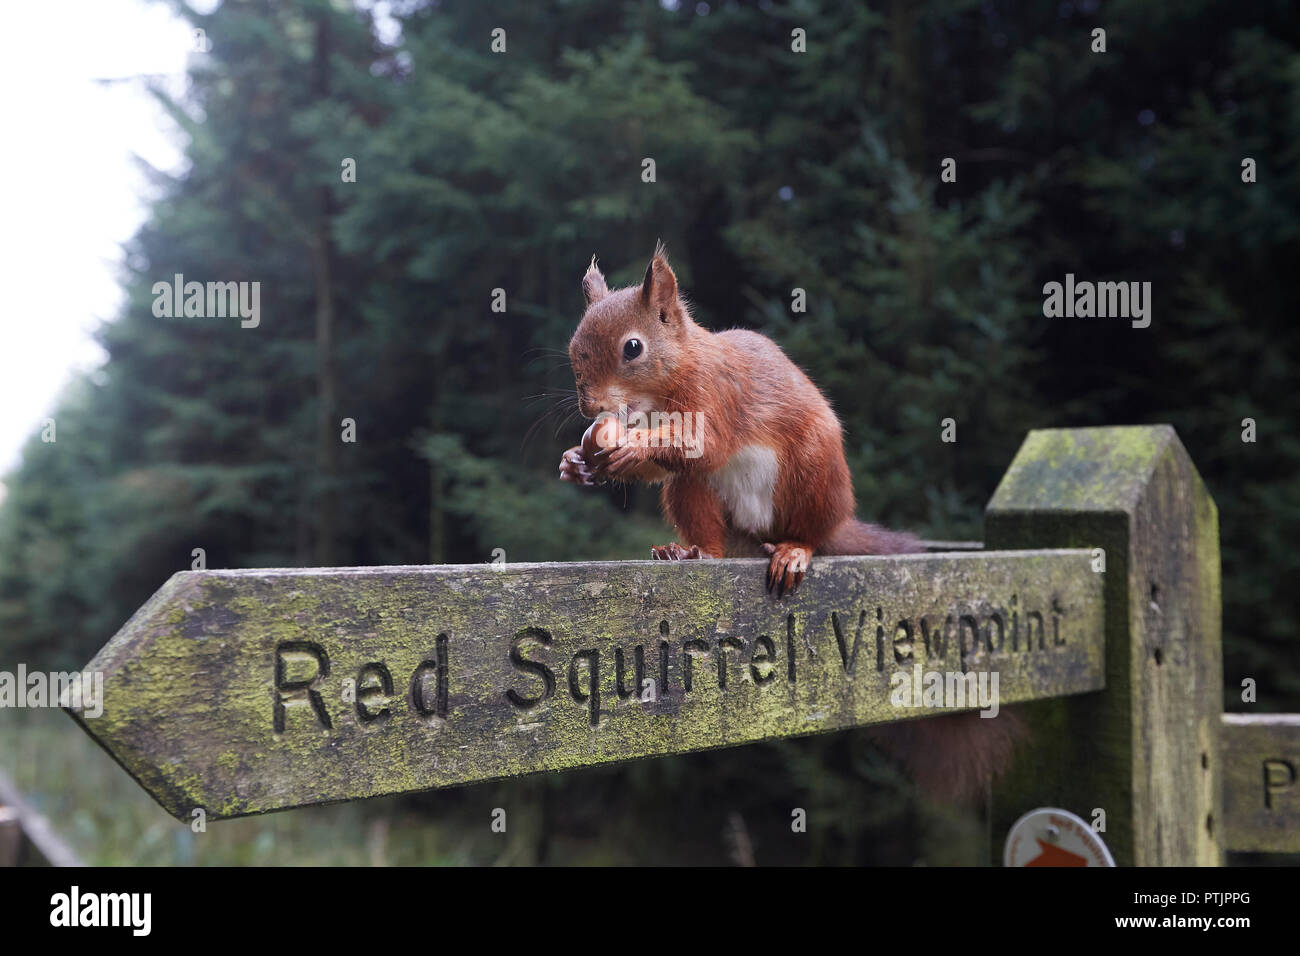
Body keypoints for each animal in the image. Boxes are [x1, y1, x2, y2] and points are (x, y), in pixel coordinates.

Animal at [553, 248, 1019, 806]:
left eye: (633, 348)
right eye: (574, 346)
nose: (590, 407)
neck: (658, 394)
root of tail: (757, 535)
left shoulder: (717, 397)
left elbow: (703, 443)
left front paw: (628, 446)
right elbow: (661, 468)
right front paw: (577, 463)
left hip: (813, 473)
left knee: (811, 532)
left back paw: (795, 550)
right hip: (698, 497)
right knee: (705, 525)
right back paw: (690, 552)